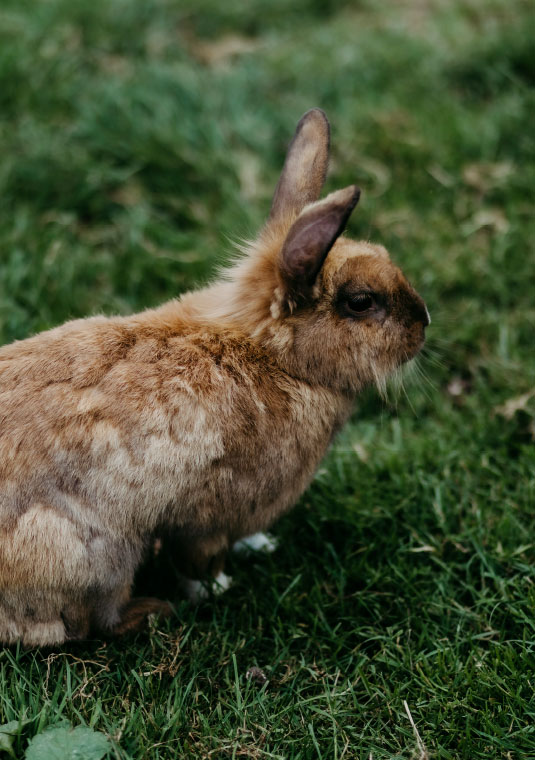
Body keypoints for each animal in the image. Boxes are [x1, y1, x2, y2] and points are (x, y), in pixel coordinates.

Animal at [0, 108, 430, 646]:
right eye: (360, 302)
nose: (424, 323)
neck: (270, 356)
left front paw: (261, 546)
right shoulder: (207, 514)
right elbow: (200, 558)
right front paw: (219, 588)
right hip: (97, 555)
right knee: (92, 620)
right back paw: (153, 610)